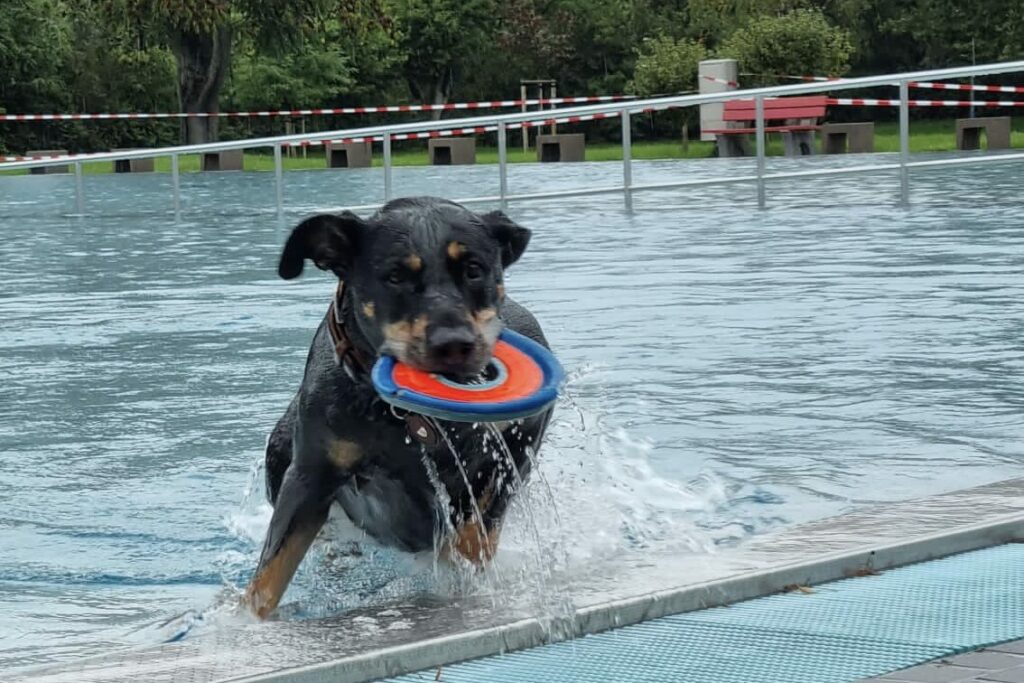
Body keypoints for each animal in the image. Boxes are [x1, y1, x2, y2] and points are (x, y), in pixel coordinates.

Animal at [243, 194, 552, 618]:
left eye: (474, 270)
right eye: (394, 276)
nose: (453, 343)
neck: (409, 418)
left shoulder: (516, 447)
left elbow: (477, 531)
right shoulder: (310, 476)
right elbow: (270, 572)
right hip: (280, 447)